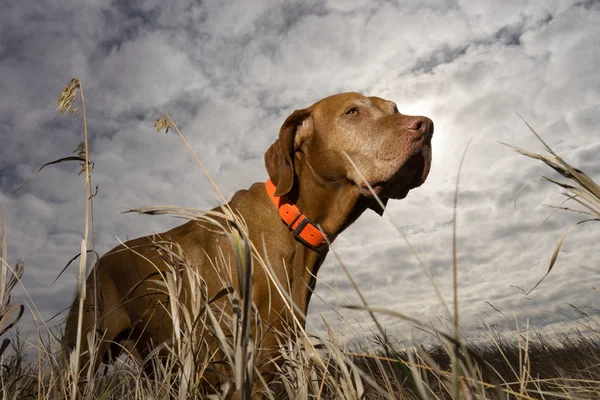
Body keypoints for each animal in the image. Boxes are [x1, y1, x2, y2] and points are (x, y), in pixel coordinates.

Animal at [63, 92, 434, 396]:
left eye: (394, 109)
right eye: (353, 112)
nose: (427, 127)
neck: (292, 220)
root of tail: (98, 260)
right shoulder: (232, 367)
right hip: (82, 353)